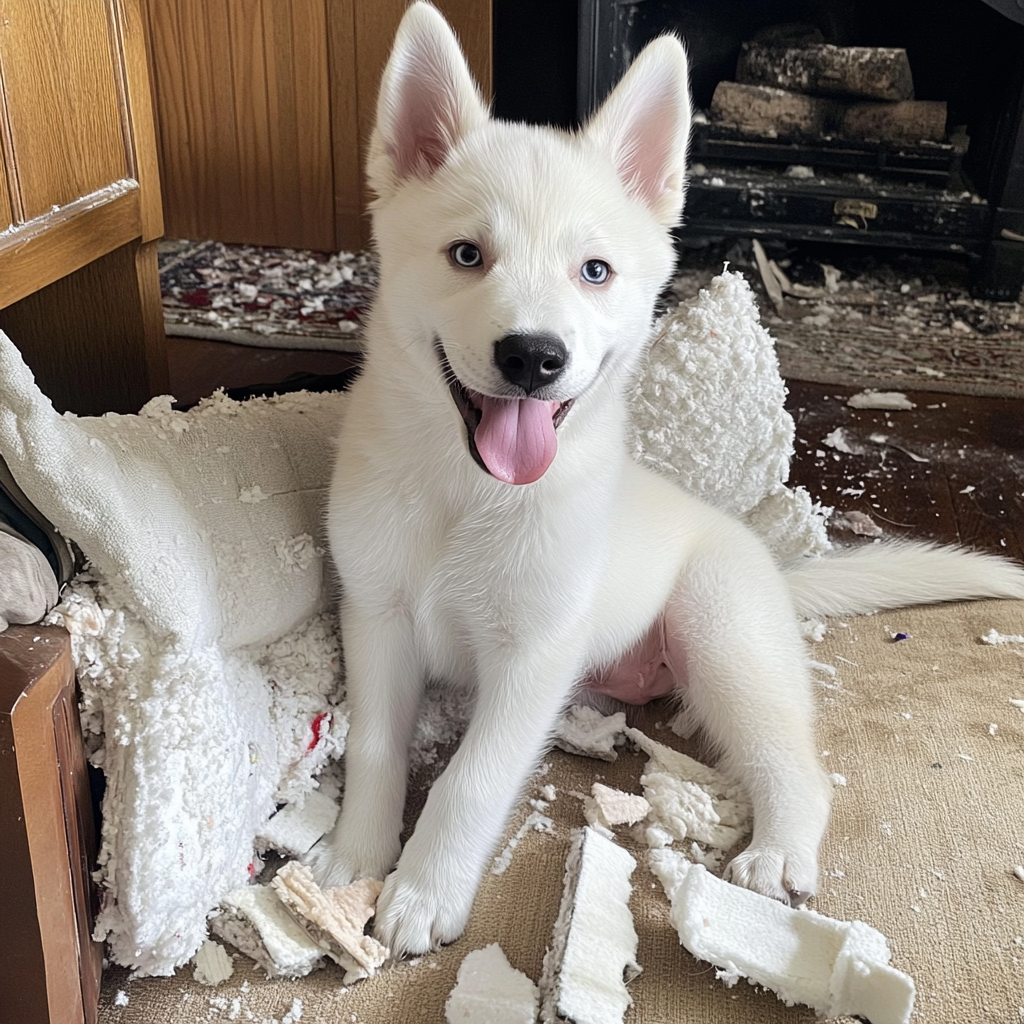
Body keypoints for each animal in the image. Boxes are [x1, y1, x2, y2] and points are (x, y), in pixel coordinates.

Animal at [311, 4, 1024, 954]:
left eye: (594, 271)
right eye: (467, 255)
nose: (534, 357)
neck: (467, 495)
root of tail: (768, 565)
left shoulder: (533, 656)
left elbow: (470, 779)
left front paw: (425, 891)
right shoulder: (377, 617)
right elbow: (376, 748)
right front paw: (355, 858)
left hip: (723, 637)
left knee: (794, 763)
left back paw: (777, 854)